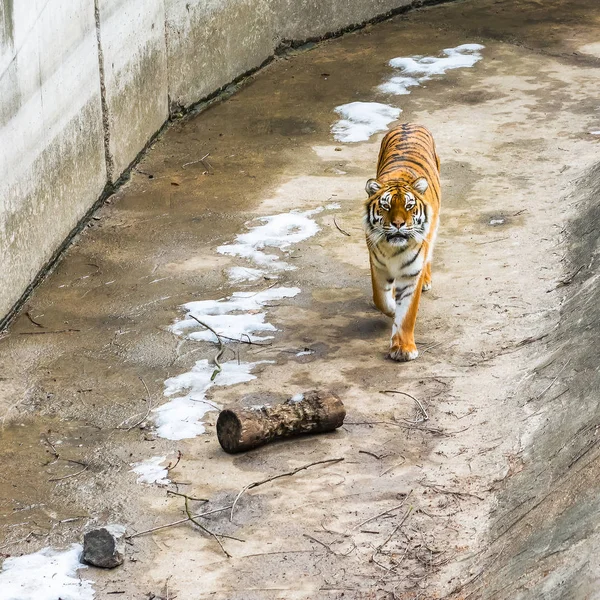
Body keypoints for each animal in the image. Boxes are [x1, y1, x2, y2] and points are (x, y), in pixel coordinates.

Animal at [360, 123, 440, 360]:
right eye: (386, 206)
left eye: (409, 206)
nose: (397, 224)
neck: (393, 249)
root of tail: (410, 123)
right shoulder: (377, 265)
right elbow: (380, 298)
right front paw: (392, 308)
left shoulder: (412, 273)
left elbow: (407, 314)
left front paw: (403, 349)